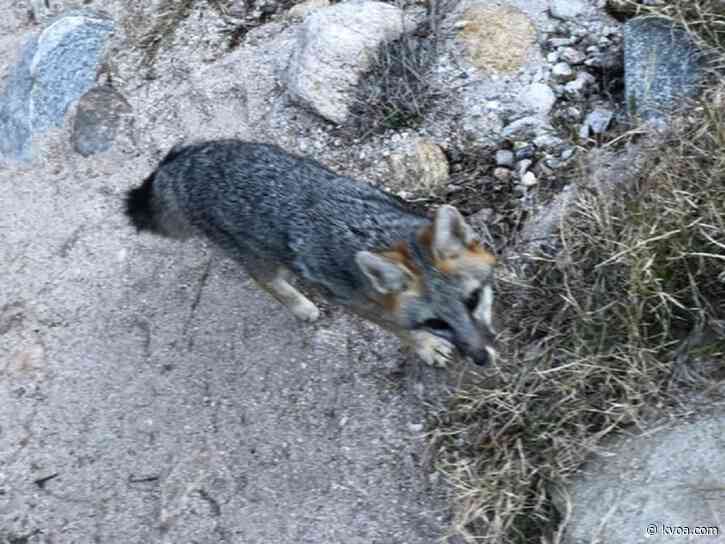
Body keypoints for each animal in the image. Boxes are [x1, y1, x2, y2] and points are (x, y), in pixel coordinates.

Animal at [124, 139, 497, 367]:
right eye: (436, 323)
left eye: (473, 300)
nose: (481, 358)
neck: (373, 233)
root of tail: (177, 169)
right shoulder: (361, 306)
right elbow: (401, 331)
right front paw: (426, 347)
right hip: (259, 259)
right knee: (265, 282)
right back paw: (301, 305)